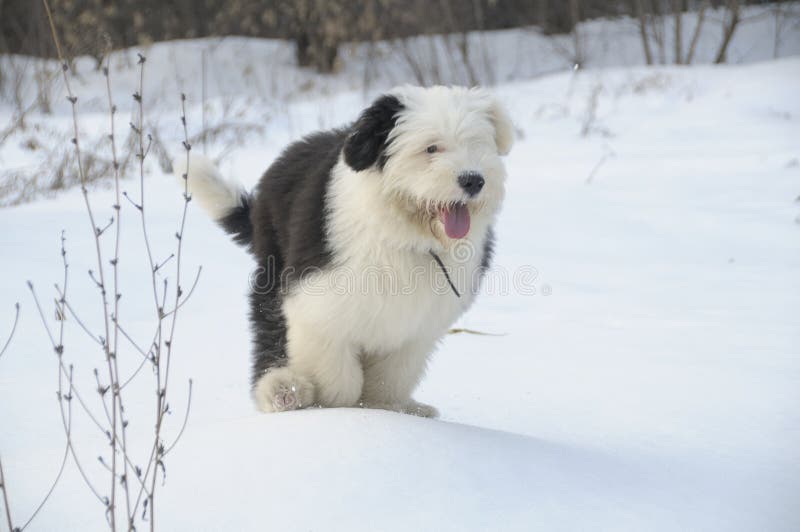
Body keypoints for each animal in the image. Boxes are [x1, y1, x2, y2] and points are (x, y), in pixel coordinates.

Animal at [174, 85, 512, 418]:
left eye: (477, 144)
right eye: (431, 148)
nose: (473, 180)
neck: (402, 235)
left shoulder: (416, 325)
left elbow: (391, 376)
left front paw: (385, 409)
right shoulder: (318, 303)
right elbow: (337, 375)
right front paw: (340, 409)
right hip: (273, 268)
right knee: (270, 330)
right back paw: (281, 390)